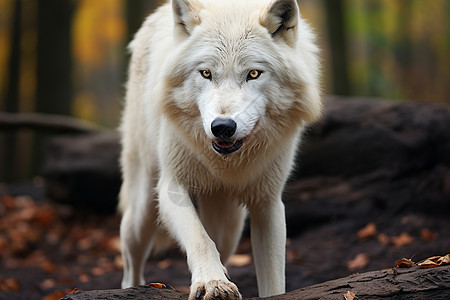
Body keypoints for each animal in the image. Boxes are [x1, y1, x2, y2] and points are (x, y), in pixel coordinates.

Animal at [119, 0, 322, 298]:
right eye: (206, 73)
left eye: (253, 73)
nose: (222, 127)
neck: (226, 163)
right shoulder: (172, 188)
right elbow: (199, 238)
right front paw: (212, 282)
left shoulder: (268, 202)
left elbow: (274, 277)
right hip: (143, 208)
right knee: (131, 261)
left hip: (231, 226)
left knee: (220, 245)